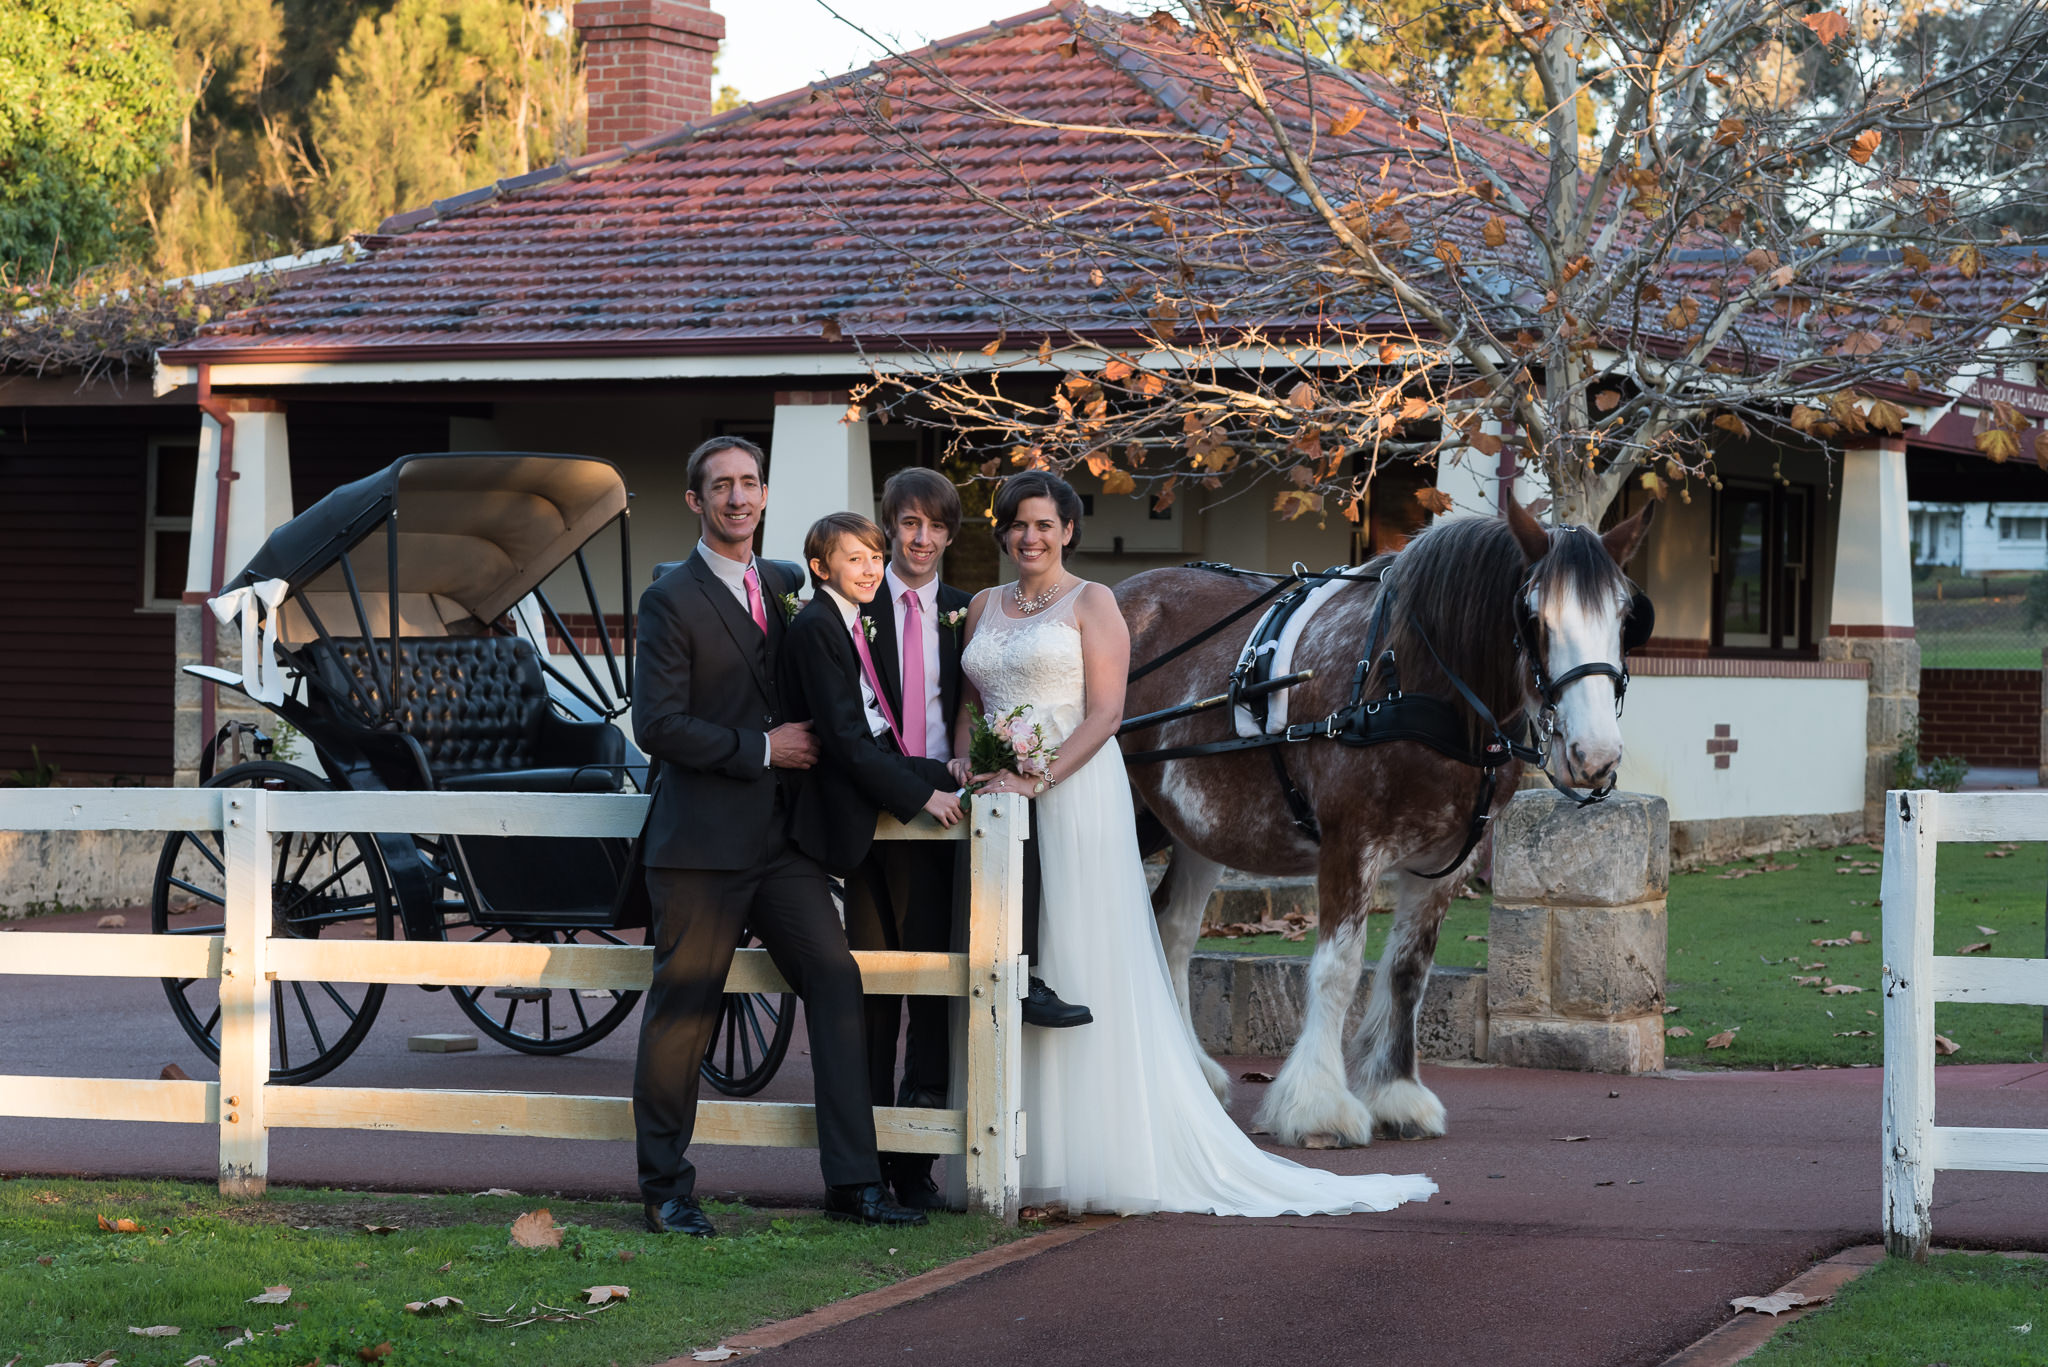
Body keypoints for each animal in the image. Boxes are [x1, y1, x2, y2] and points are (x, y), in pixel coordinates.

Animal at [1114, 498, 1654, 1147]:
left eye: (1625, 616)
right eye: (1533, 615)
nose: (1594, 756)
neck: (1405, 683)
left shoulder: (1447, 860)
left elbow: (1407, 970)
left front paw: (1396, 1094)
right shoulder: (1350, 844)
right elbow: (1339, 969)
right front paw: (1318, 1105)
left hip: (1197, 826)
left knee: (1172, 929)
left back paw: (1191, 1074)